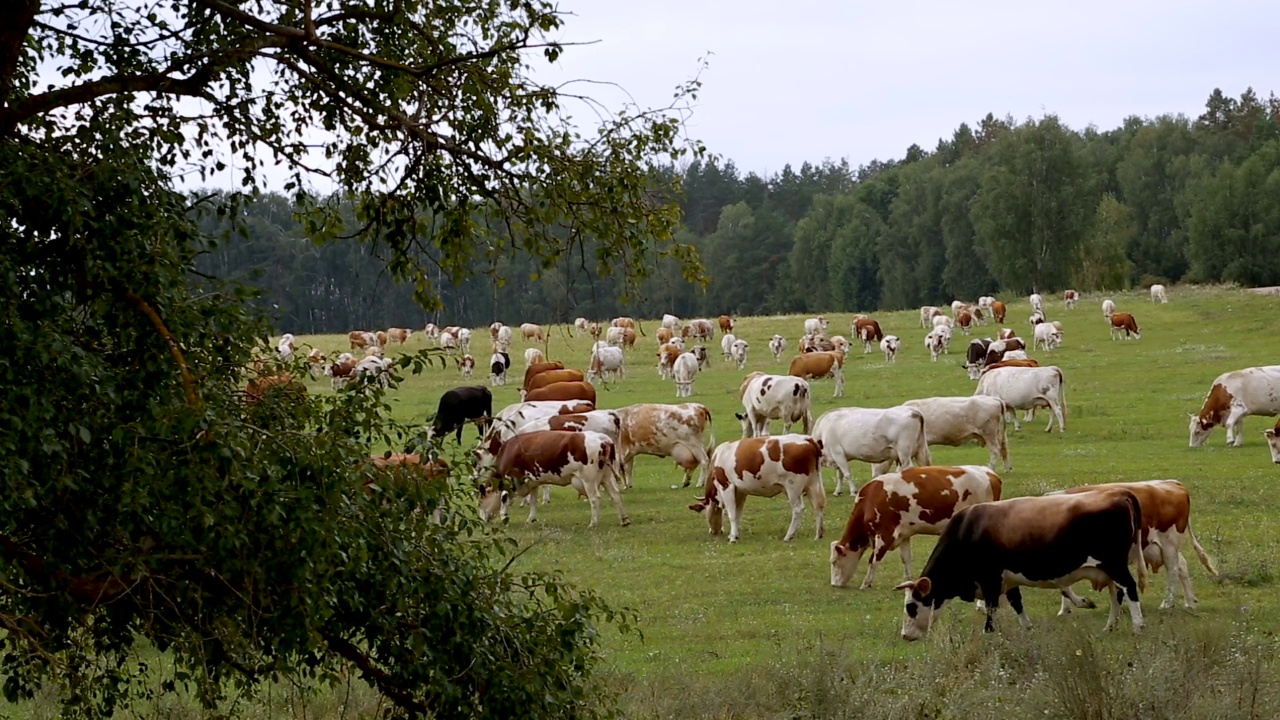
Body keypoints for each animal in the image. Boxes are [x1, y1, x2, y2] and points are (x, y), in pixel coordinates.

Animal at [476, 427, 629, 525]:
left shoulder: (509, 479)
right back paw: (624, 519)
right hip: (607, 477)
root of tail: (602, 438)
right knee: (616, 495)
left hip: (589, 480)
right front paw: (531, 519)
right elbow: (533, 500)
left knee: (595, 499)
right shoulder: (533, 481)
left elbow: (504, 498)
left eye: (480, 502)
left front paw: (504, 517)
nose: (482, 521)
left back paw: (594, 523)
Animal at [691, 435, 829, 540]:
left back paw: (788, 536)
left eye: (704, 513)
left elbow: (731, 513)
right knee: (818, 506)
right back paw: (818, 535)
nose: (713, 532)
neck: (719, 457)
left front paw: (733, 537)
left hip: (793, 486)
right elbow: (737, 513)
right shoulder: (740, 492)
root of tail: (807, 439)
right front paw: (735, 534)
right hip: (812, 484)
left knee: (798, 509)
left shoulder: (726, 486)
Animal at [834, 466, 1003, 589]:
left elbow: (873, 559)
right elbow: (906, 559)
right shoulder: (903, 535)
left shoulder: (885, 534)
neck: (871, 498)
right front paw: (908, 581)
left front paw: (865, 584)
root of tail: (990, 474)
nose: (834, 584)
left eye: (834, 562)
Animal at [896, 486, 1146, 638]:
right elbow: (1016, 602)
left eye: (911, 607)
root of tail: (1119, 492)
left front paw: (989, 633)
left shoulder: (990, 579)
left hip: (1114, 564)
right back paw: (1110, 626)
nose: (905, 636)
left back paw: (1138, 626)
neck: (969, 530)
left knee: (1129, 588)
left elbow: (992, 608)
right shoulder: (1008, 579)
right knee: (1117, 593)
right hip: (1110, 568)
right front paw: (1027, 627)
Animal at [1049, 479, 1218, 607]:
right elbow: (1064, 584)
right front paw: (1066, 609)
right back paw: (1189, 602)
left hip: (1169, 542)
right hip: (1161, 546)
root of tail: (1172, 483)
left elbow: (1064, 586)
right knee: (1182, 565)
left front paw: (1080, 603)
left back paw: (1167, 604)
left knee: (1173, 569)